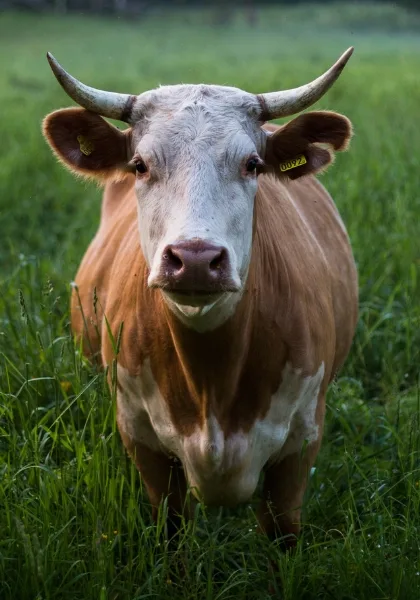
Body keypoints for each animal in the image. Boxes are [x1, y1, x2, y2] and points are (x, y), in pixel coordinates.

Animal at [41, 49, 358, 552]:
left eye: (252, 164)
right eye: (139, 165)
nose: (194, 259)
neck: (212, 381)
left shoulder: (301, 445)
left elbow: (282, 535)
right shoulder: (143, 441)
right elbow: (172, 533)